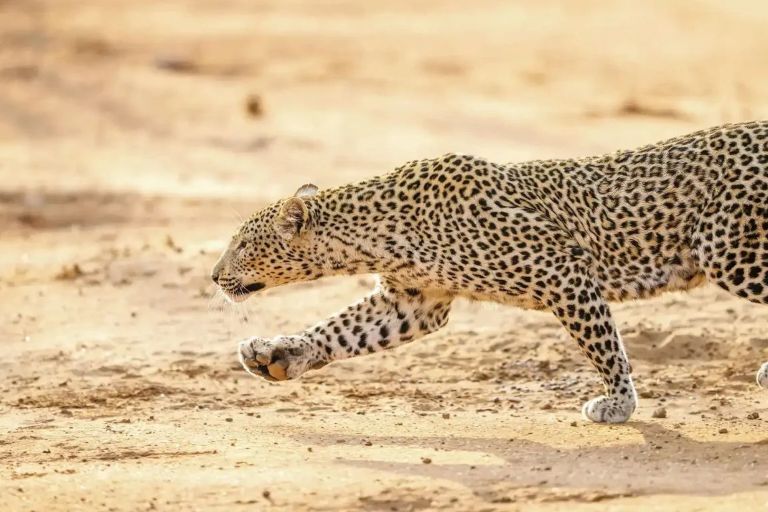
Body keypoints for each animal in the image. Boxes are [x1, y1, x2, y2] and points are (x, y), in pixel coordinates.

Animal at [211, 121, 768, 423]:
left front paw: (618, 405)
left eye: (240, 244)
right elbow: (337, 330)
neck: (374, 233)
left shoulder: (561, 269)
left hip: (728, 250)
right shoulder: (413, 302)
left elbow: (607, 348)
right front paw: (276, 355)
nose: (214, 276)